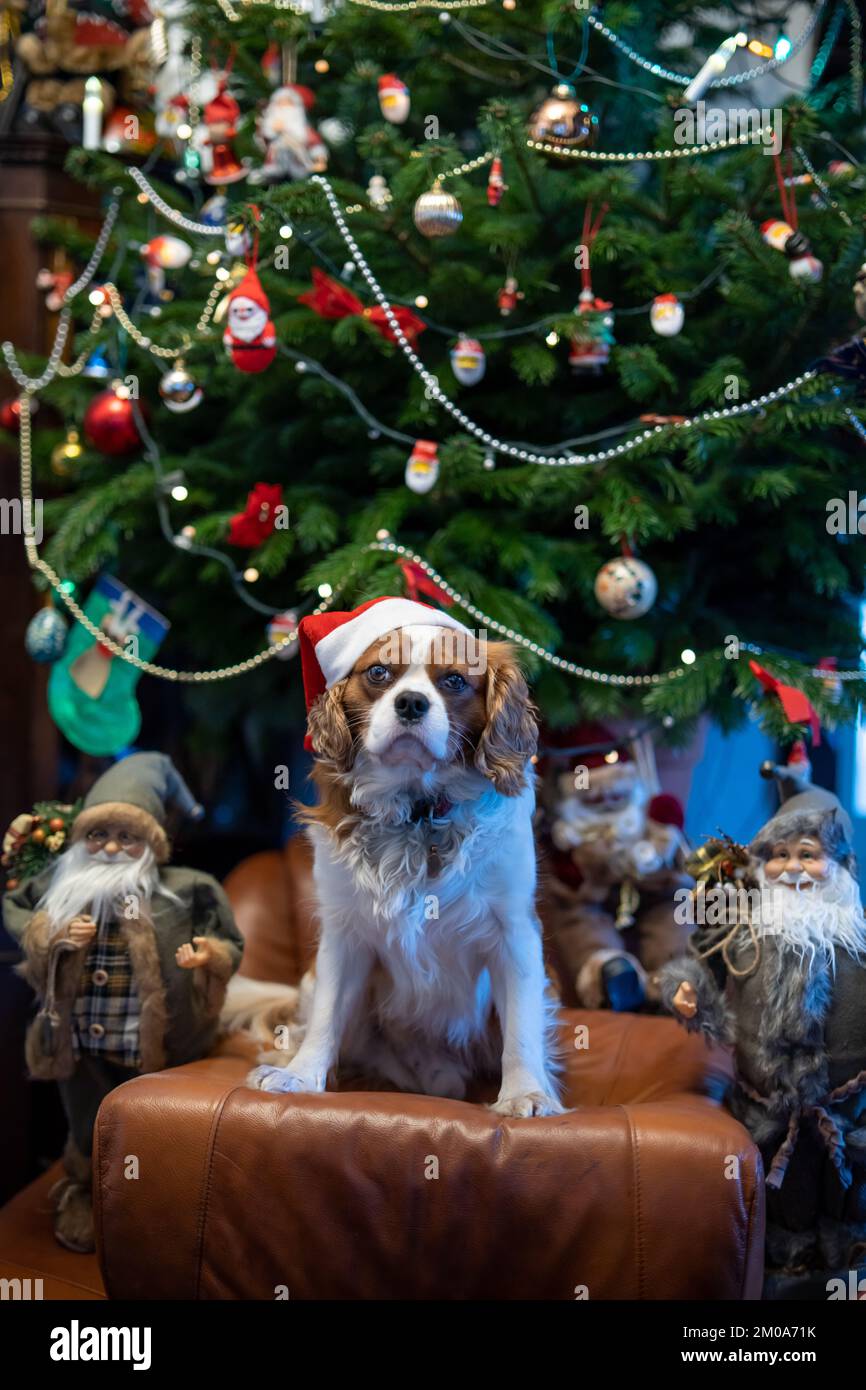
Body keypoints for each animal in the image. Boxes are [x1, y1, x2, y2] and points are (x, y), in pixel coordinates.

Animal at [234, 597, 561, 1117]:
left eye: (454, 681)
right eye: (379, 673)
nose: (411, 703)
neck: (417, 812)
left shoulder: (515, 932)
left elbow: (522, 1028)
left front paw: (525, 1093)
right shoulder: (344, 933)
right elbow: (326, 1016)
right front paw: (300, 1077)